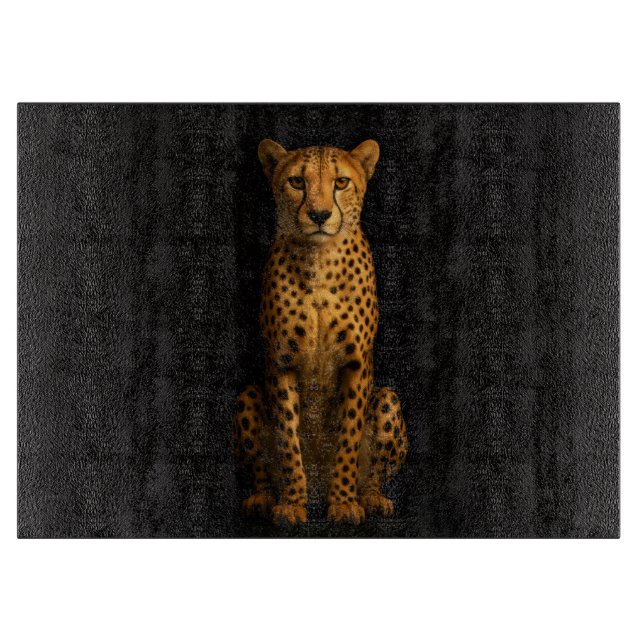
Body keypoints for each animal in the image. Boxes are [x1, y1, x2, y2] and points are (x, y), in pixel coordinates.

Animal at [233, 138, 407, 526]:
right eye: (297, 182)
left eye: (340, 182)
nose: (319, 215)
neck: (319, 258)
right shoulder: (281, 360)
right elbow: (287, 438)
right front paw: (291, 503)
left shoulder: (356, 363)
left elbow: (349, 434)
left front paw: (343, 502)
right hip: (247, 394)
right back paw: (264, 498)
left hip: (388, 398)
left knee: (376, 473)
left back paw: (371, 498)